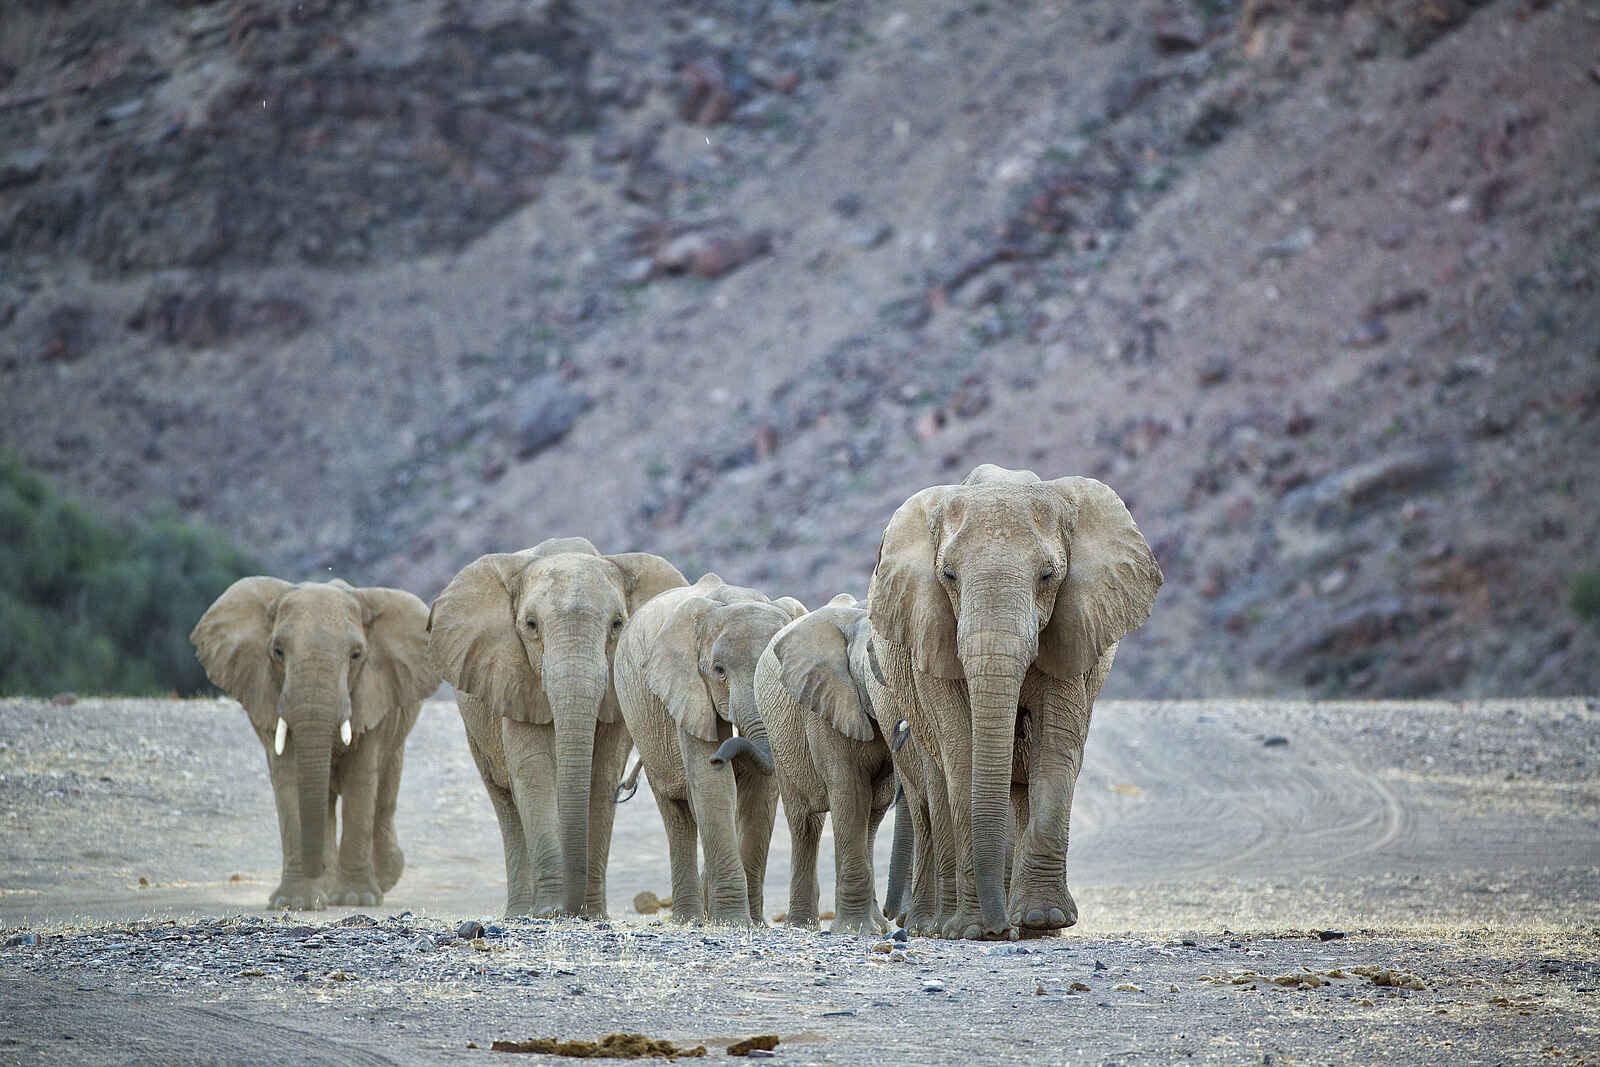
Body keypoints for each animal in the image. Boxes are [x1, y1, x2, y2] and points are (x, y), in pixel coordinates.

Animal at [190, 577, 437, 910]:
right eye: (277, 651)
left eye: (356, 655)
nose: (313, 869)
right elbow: (290, 780)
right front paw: (296, 902)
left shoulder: (374, 694)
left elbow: (361, 780)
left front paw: (356, 899)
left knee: (384, 792)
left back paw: (380, 878)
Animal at [426, 537, 686, 918]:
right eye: (531, 625)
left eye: (618, 624)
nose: (570, 909)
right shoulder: (513, 676)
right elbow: (534, 771)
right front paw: (550, 911)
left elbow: (601, 774)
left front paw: (591, 914)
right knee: (504, 801)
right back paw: (521, 913)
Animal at [613, 573, 806, 925]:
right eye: (718, 670)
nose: (721, 756)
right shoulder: (687, 686)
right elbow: (711, 783)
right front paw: (733, 921)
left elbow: (760, 792)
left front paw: (754, 923)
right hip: (641, 725)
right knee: (676, 814)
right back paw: (688, 919)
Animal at [756, 593, 899, 935]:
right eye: (872, 659)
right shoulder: (823, 704)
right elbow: (849, 791)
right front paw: (855, 932)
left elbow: (868, 804)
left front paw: (866, 929)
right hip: (779, 738)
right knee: (804, 823)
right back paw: (802, 926)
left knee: (873, 815)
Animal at [867, 464, 1162, 940]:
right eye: (948, 575)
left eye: (1048, 576)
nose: (998, 929)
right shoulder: (929, 634)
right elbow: (961, 751)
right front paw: (973, 930)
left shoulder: (1074, 629)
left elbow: (1056, 747)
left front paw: (1044, 920)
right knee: (939, 781)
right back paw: (948, 925)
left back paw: (1034, 927)